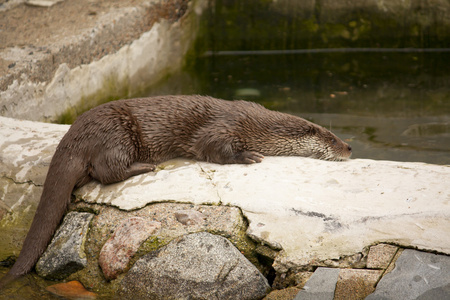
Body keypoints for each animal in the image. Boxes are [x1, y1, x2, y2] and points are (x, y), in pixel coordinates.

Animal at [0, 95, 352, 288]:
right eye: (333, 138)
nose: (349, 147)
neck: (259, 127)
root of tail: (73, 135)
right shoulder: (225, 127)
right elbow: (214, 148)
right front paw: (247, 157)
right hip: (117, 133)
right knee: (106, 170)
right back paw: (144, 167)